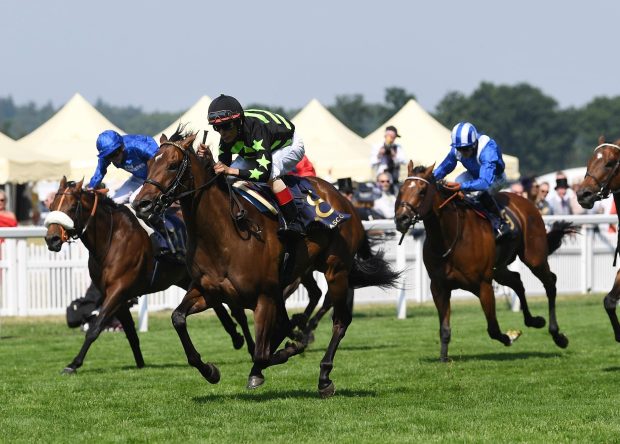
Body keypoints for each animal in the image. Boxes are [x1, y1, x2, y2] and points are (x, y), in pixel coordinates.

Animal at [44, 179, 254, 372]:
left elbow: (95, 328)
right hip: (189, 279)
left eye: (72, 207)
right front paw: (140, 364)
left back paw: (250, 348)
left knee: (238, 313)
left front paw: (73, 364)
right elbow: (130, 333)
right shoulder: (116, 295)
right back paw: (236, 338)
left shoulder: (118, 290)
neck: (111, 240)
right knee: (219, 307)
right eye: (51, 207)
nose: (51, 239)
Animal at [133, 130, 400, 398]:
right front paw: (210, 370)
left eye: (173, 164)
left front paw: (285, 352)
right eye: (149, 164)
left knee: (340, 321)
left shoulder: (263, 296)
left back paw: (324, 375)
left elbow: (261, 353)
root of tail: (346, 202)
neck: (224, 235)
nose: (141, 204)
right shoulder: (208, 291)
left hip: (336, 270)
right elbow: (178, 318)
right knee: (298, 314)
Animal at [394, 162, 572, 360]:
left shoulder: (483, 285)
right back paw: (534, 320)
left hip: (534, 257)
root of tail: (526, 201)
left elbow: (493, 329)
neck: (449, 238)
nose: (401, 218)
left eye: (422, 191)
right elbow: (444, 329)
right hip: (499, 268)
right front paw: (444, 358)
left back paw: (558, 335)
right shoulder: (439, 287)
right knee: (517, 280)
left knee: (550, 283)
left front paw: (510, 337)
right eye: (401, 189)